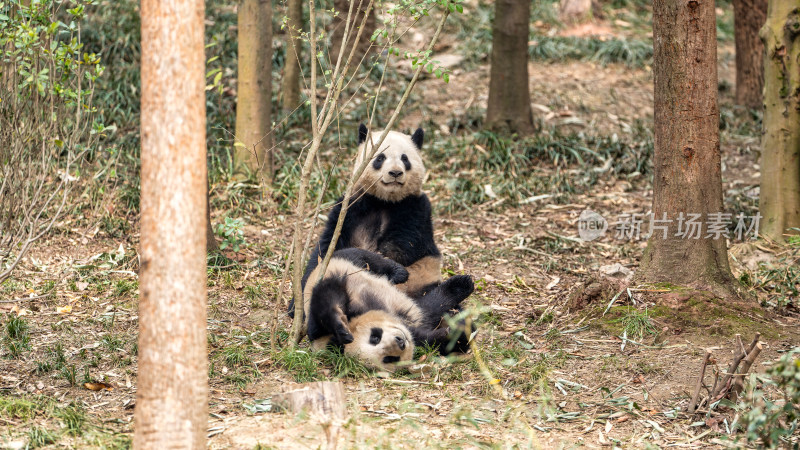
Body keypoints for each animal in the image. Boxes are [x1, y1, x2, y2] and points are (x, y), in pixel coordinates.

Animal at [298, 124, 440, 298]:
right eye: (380, 158)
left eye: (405, 159)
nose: (395, 173)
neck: (384, 201)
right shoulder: (351, 208)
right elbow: (329, 244)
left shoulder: (415, 208)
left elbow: (404, 247)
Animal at [304, 248, 472, 370]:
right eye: (389, 358)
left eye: (374, 337)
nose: (401, 341)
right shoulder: (414, 330)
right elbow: (428, 324)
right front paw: (455, 336)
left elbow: (327, 299)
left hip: (344, 262)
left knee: (368, 259)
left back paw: (397, 274)